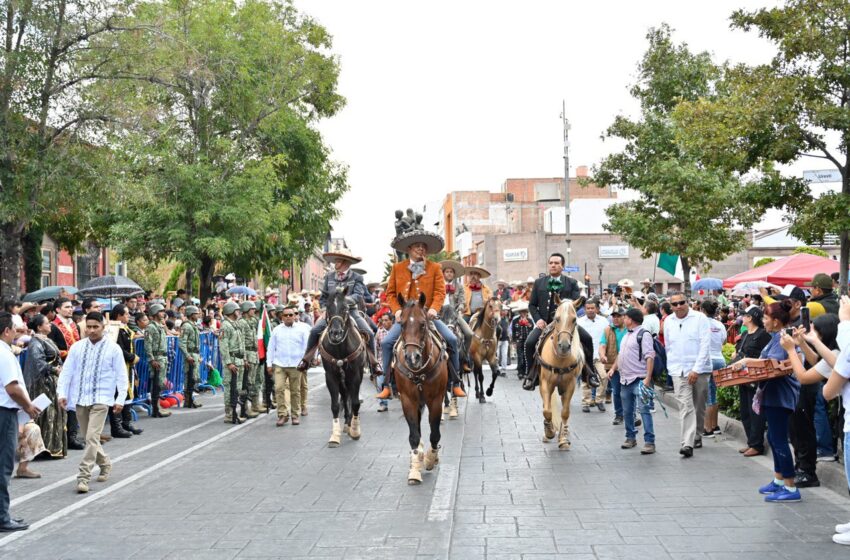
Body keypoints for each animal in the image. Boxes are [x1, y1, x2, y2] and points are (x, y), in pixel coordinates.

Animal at [320, 286, 366, 448]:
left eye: (345, 308)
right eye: (327, 307)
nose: (335, 333)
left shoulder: (356, 375)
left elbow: (356, 402)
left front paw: (356, 431)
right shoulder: (331, 376)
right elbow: (335, 405)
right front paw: (335, 436)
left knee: (351, 397)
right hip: (341, 379)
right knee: (345, 396)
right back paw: (346, 423)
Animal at [390, 296, 448, 484]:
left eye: (423, 324)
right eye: (401, 324)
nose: (412, 357)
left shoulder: (436, 400)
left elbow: (435, 434)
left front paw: (430, 459)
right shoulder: (408, 400)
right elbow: (414, 435)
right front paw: (415, 469)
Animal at [536, 298, 584, 450]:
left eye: (574, 319)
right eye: (556, 318)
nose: (564, 346)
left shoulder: (570, 385)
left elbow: (565, 412)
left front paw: (563, 438)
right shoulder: (545, 384)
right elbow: (547, 410)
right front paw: (549, 432)